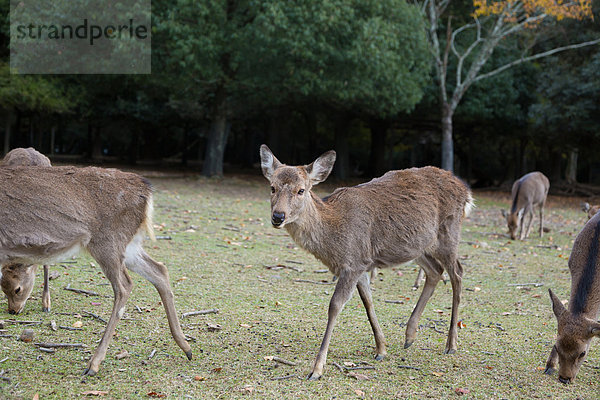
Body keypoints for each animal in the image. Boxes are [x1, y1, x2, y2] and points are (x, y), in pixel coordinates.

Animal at [0, 165, 192, 376]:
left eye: (17, 289)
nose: (12, 311)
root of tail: (147, 189)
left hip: (108, 241)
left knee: (124, 286)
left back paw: (93, 363)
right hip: (129, 245)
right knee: (160, 270)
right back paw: (186, 347)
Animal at [258, 145, 474, 380]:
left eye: (301, 190)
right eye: (272, 187)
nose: (278, 216)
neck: (333, 236)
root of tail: (465, 191)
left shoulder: (352, 263)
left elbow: (335, 306)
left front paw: (316, 369)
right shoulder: (362, 263)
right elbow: (368, 302)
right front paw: (381, 349)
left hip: (448, 232)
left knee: (457, 273)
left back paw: (451, 344)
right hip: (417, 247)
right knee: (435, 271)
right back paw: (409, 336)